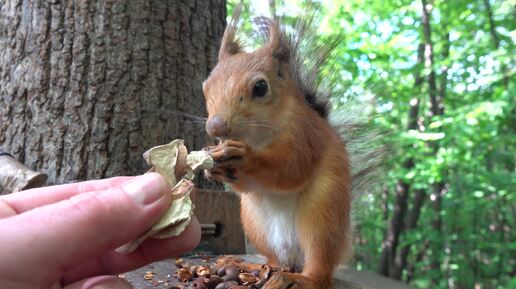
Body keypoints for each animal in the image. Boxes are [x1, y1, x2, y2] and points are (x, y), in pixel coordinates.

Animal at [202, 13, 350, 288]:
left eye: (260, 87)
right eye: (205, 87)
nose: (216, 127)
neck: (256, 136)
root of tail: (293, 258)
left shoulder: (304, 134)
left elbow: (291, 169)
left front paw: (246, 157)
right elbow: (247, 184)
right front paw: (213, 169)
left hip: (323, 212)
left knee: (320, 264)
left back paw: (301, 279)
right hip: (254, 223)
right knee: (272, 261)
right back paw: (248, 266)